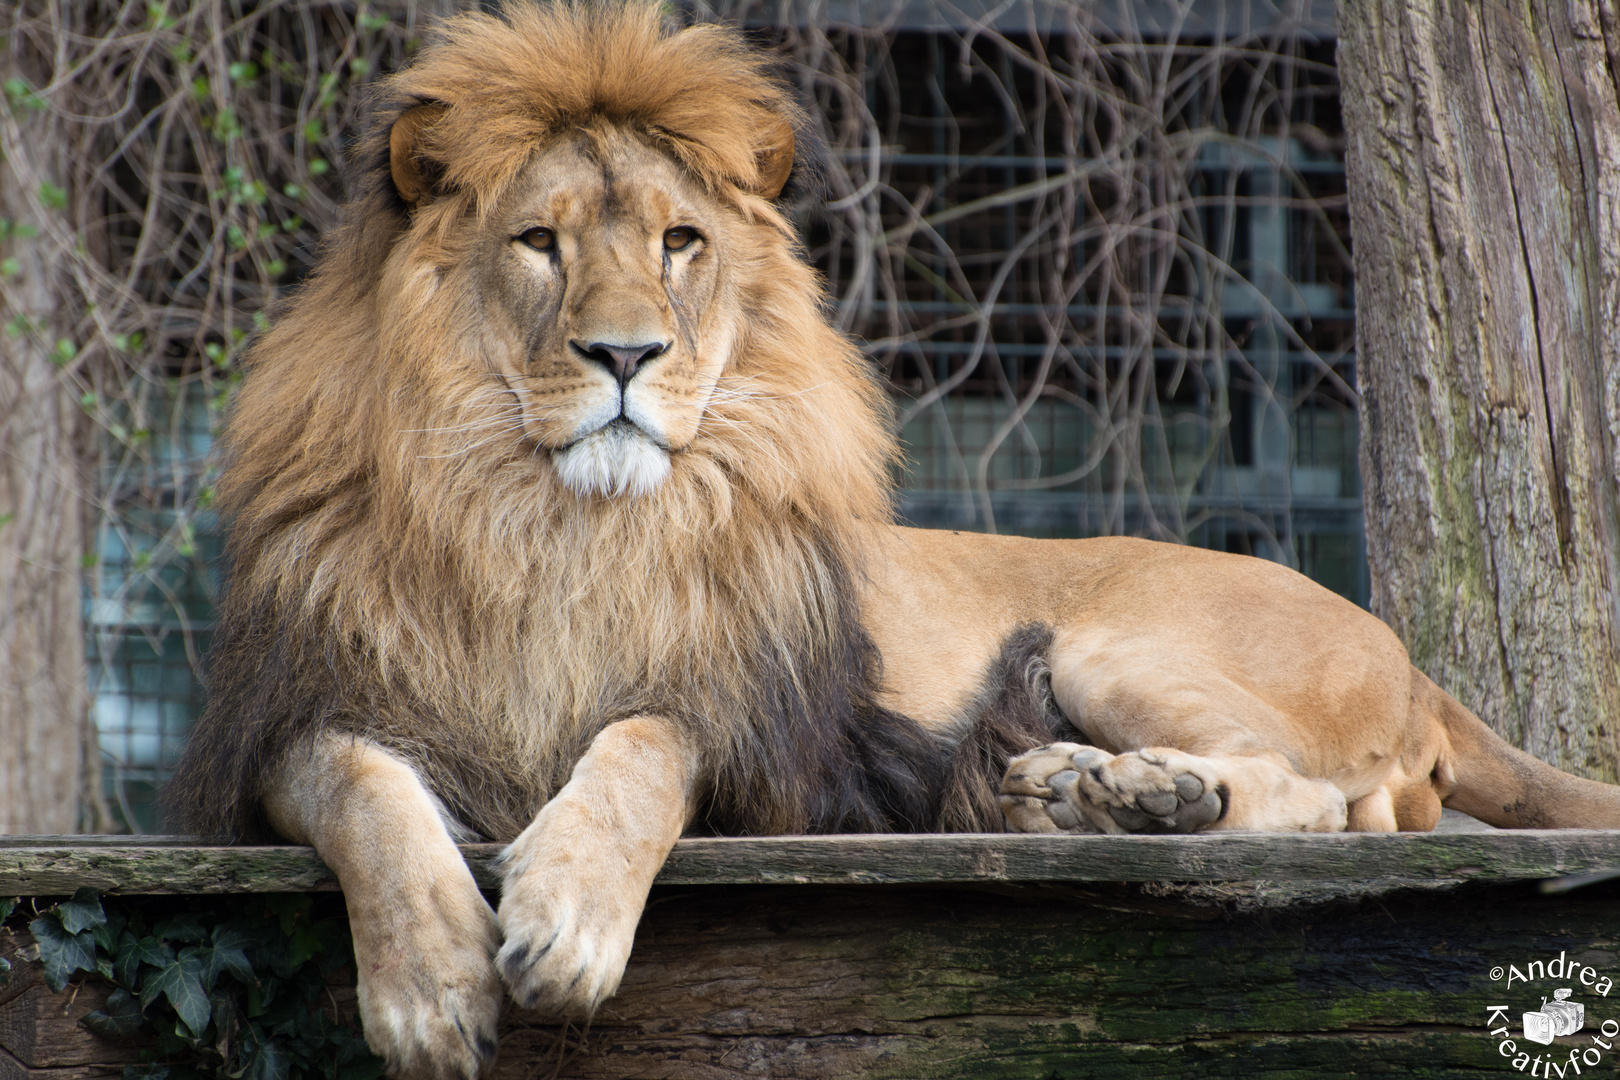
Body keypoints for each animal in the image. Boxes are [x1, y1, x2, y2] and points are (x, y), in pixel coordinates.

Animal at [167, 4, 1620, 1075]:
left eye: (680, 243)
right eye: (537, 242)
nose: (627, 355)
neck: (551, 523)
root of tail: (1416, 663)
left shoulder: (767, 744)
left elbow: (639, 750)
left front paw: (565, 920)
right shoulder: (291, 720)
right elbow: (362, 790)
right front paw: (428, 989)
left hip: (1110, 642)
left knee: (1320, 806)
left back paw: (1145, 797)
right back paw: (1080, 796)